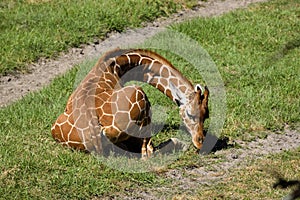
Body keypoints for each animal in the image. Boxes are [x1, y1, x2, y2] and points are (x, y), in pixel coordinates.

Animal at [51, 48, 209, 158]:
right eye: (189, 114)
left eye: (206, 116)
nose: (200, 142)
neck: (119, 65)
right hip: (139, 93)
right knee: (148, 152)